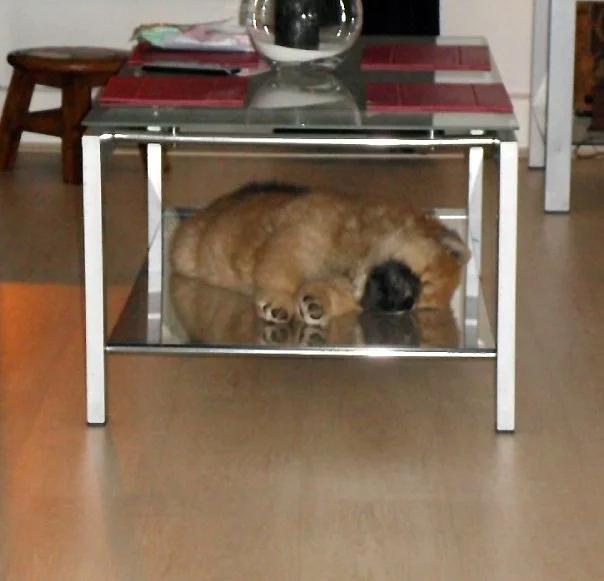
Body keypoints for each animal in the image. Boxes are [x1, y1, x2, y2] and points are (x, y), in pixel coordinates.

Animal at [170, 182, 470, 327]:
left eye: (411, 307)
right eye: (416, 284)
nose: (393, 306)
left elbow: (330, 295)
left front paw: (317, 304)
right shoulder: (295, 242)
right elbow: (281, 278)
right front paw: (280, 303)